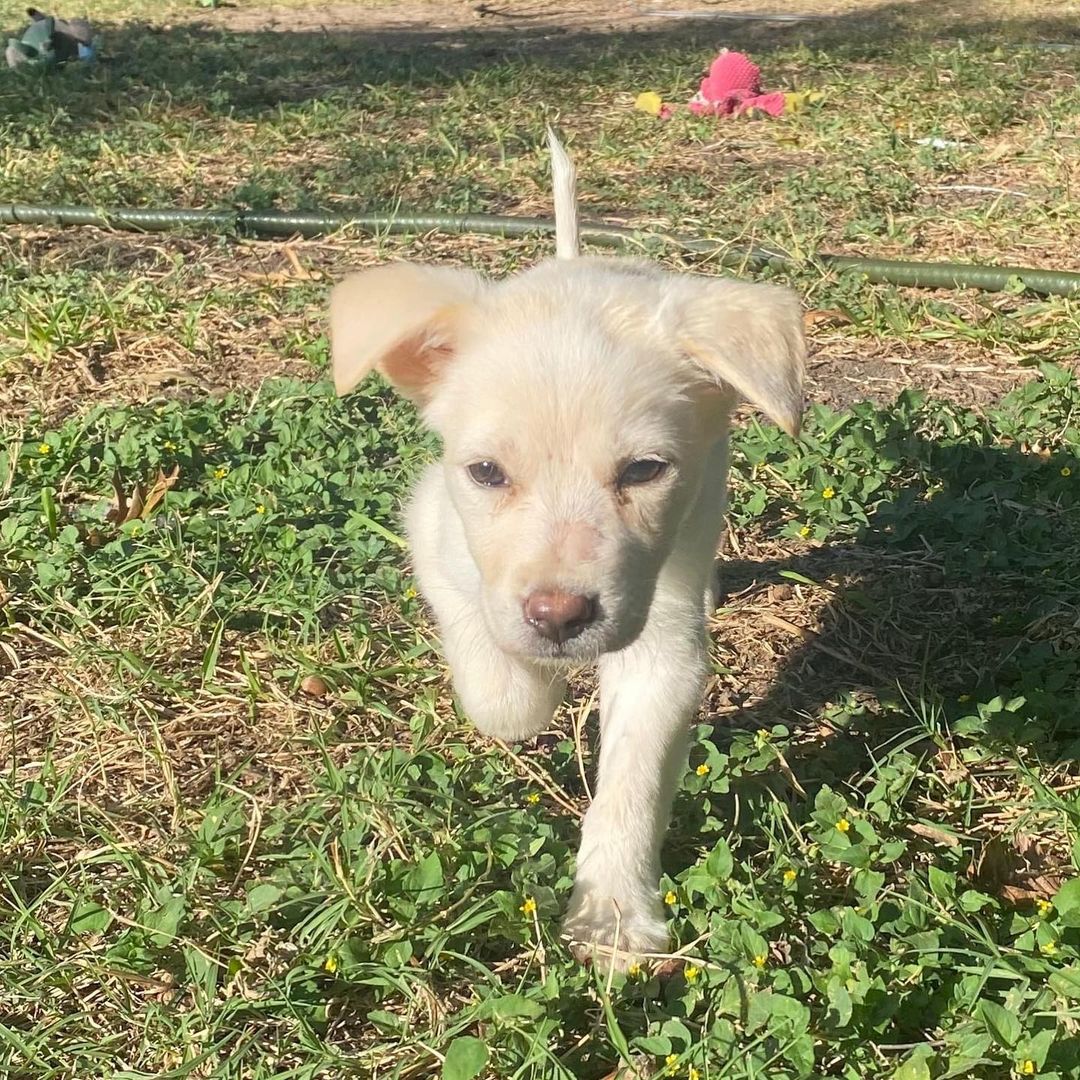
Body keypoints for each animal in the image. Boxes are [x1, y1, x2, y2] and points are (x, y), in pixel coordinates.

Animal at [332, 130, 807, 967]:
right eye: (487, 473)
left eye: (643, 471)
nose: (559, 618)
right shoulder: (432, 529)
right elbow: (500, 695)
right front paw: (530, 690)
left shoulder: (660, 640)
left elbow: (631, 784)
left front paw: (612, 916)